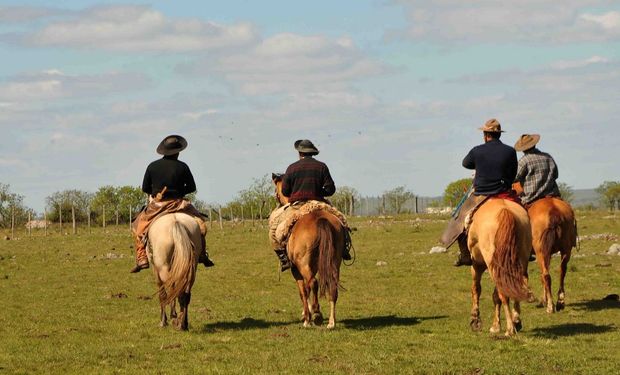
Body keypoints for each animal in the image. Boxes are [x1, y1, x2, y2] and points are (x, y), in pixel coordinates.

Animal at [272, 175, 346, 328]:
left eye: (276, 192)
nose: (278, 204)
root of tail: (321, 219)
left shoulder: (296, 270)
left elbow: (303, 291)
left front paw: (307, 318)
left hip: (303, 264)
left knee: (313, 283)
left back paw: (316, 314)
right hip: (334, 262)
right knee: (332, 287)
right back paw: (331, 322)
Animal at [468, 200, 532, 338]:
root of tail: (505, 211)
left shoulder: (477, 264)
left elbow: (476, 289)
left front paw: (475, 320)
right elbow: (495, 295)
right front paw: (496, 325)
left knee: (504, 293)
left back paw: (509, 329)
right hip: (519, 261)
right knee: (518, 286)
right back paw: (516, 321)